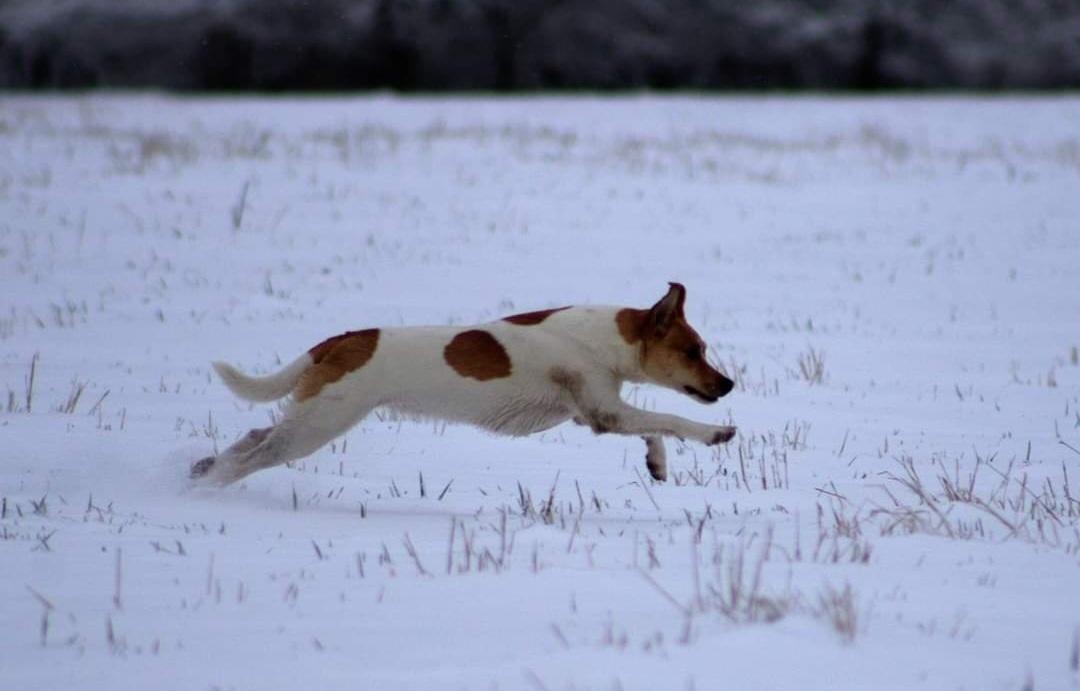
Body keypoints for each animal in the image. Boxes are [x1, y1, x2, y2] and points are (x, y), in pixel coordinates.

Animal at [192, 282, 734, 485]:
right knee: (255, 455)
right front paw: (716, 433)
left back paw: (203, 467)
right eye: (693, 351)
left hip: (314, 415)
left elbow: (654, 427)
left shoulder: (597, 412)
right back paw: (213, 484)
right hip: (321, 422)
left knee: (255, 436)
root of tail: (343, 340)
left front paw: (657, 463)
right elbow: (670, 417)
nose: (728, 385)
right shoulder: (606, 411)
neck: (604, 338)